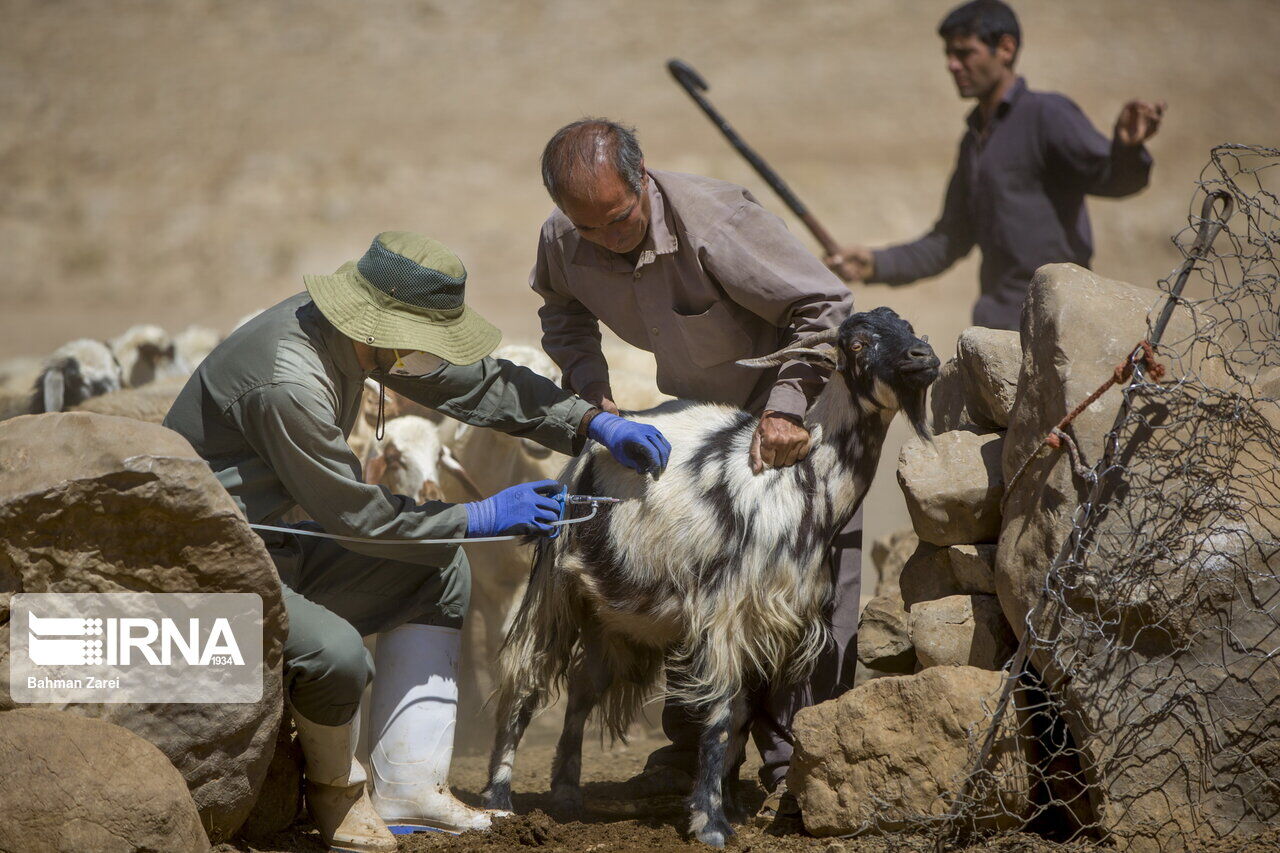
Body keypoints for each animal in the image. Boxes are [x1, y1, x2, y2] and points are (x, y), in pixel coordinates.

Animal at [481, 306, 942, 845]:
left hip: (612, 611)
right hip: (555, 585)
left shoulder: (772, 622)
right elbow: (721, 714)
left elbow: (744, 716)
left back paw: (568, 796)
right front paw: (710, 823)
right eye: (858, 343)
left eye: (907, 327)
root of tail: (584, 457)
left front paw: (732, 806)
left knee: (583, 686)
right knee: (525, 676)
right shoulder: (725, 612)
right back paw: (499, 800)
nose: (924, 357)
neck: (800, 482)